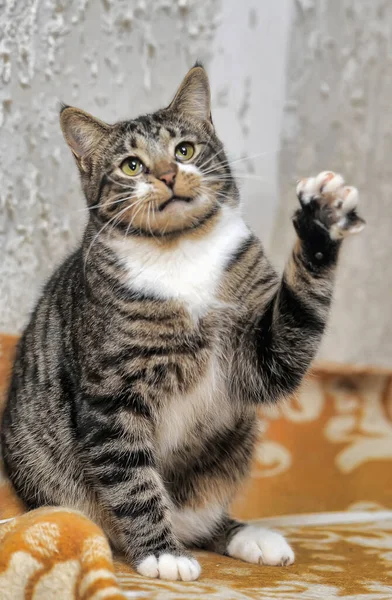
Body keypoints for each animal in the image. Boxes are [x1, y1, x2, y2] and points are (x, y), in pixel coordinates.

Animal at [1, 64, 366, 580]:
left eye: (184, 150)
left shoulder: (260, 356)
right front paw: (162, 553)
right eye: (132, 165)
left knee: (207, 521)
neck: (178, 252)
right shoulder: (111, 395)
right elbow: (133, 480)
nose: (169, 173)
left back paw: (253, 537)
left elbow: (294, 322)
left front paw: (319, 223)